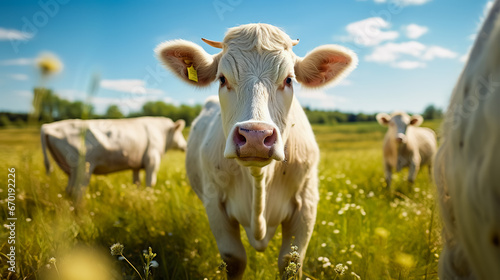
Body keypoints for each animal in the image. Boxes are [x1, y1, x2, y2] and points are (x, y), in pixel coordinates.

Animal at [40, 116, 186, 201]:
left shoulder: (136, 165)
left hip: (70, 171)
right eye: (180, 132)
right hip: (83, 169)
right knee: (77, 193)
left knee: (69, 191)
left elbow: (137, 183)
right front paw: (149, 200)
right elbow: (151, 184)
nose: (185, 145)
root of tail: (48, 126)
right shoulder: (152, 161)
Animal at [155, 23, 356, 278]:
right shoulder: (214, 202)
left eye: (289, 80)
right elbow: (234, 259)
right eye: (222, 79)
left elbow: (291, 261)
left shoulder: (307, 202)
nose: (255, 136)